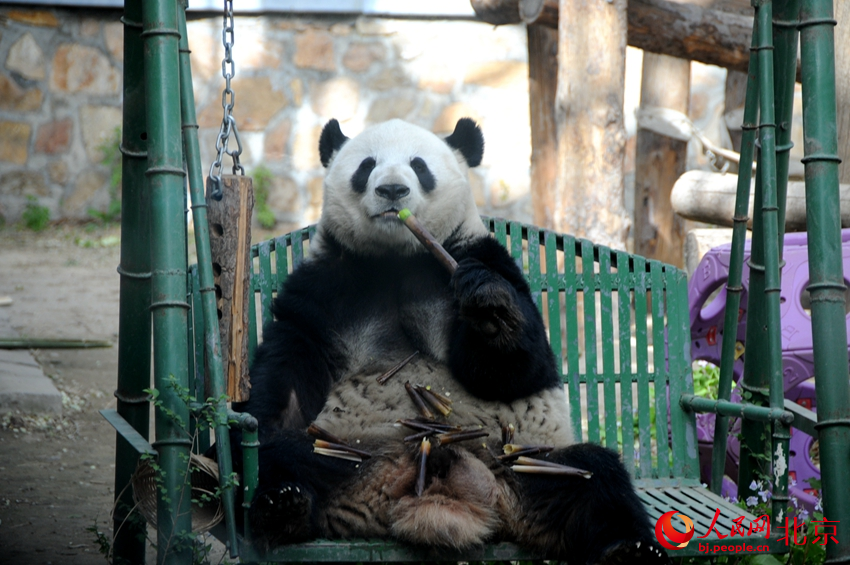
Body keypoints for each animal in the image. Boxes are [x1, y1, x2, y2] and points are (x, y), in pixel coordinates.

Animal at [234, 117, 668, 560]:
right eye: (367, 166)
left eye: (419, 165)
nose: (393, 190)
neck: (397, 257)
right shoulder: (327, 285)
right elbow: (289, 364)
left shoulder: (478, 255)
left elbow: (517, 371)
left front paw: (490, 312)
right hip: (346, 450)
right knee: (287, 456)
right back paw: (284, 506)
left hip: (522, 462)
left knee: (594, 478)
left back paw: (629, 547)